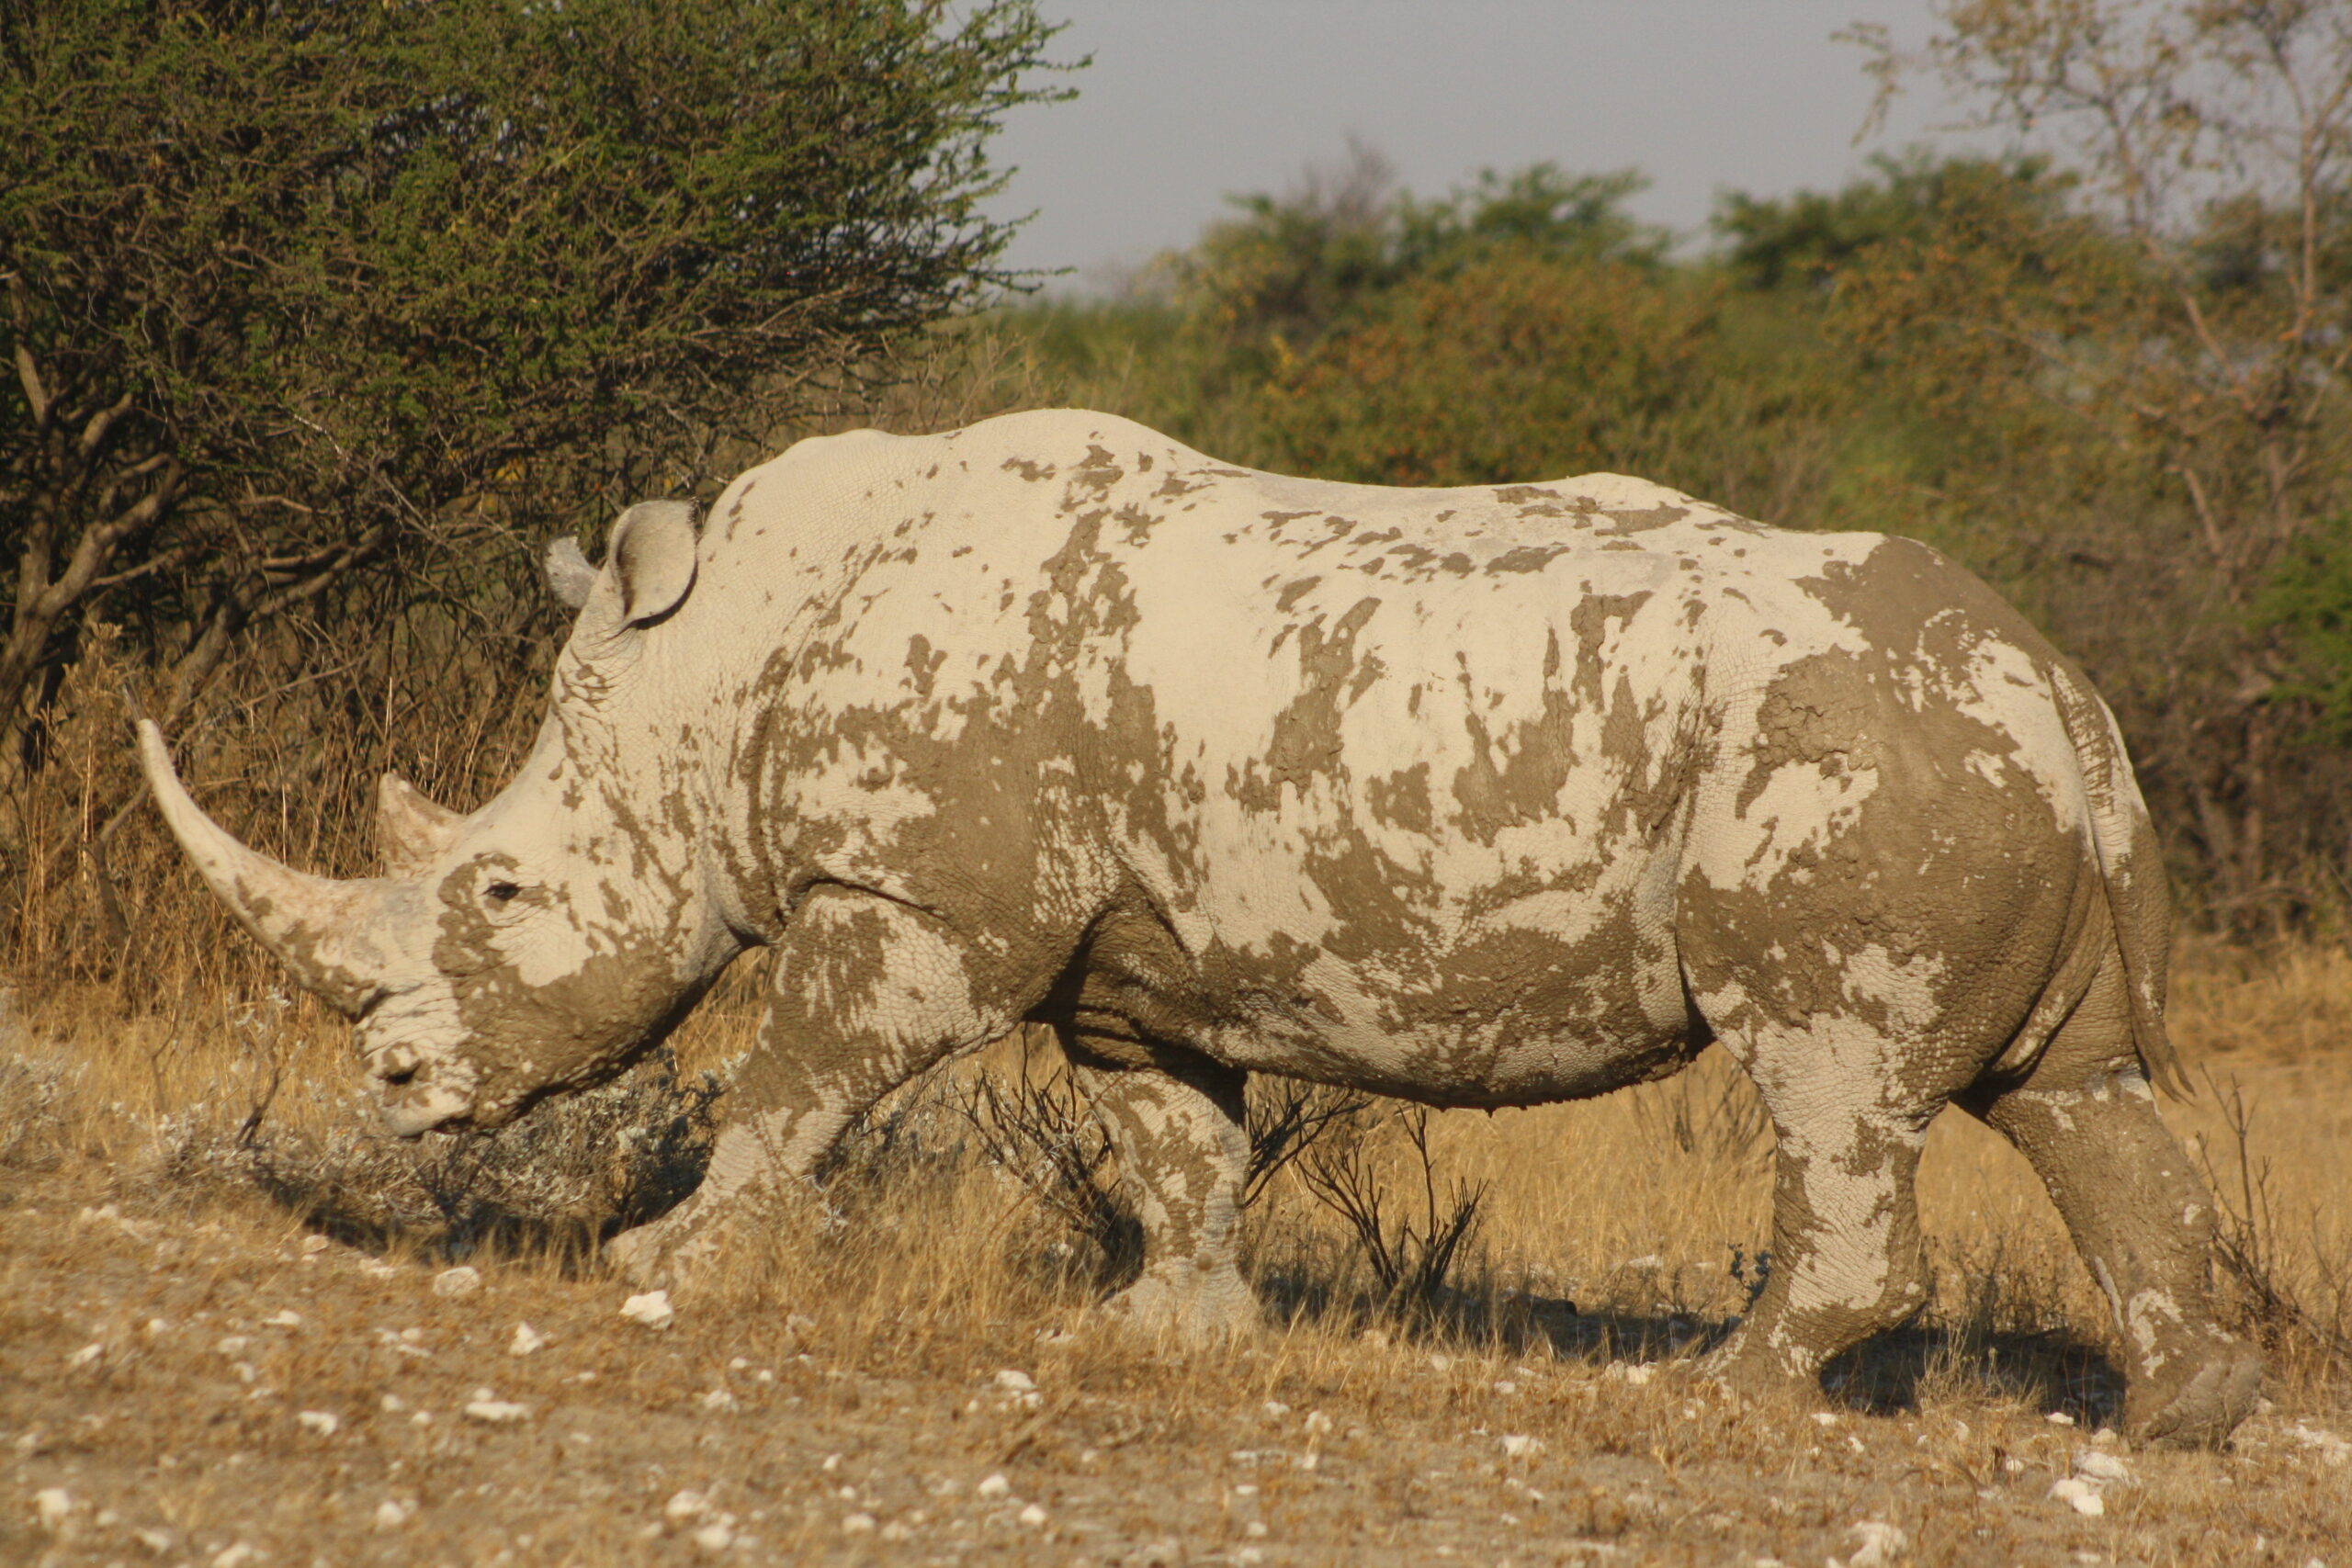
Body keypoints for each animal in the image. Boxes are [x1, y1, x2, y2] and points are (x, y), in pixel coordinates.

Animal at [140, 408, 2260, 1446]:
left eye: (499, 891)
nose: (395, 1084)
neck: (711, 666)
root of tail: (2067, 691)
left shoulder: (916, 902)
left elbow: (796, 1076)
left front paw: (658, 1260)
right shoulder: (1121, 958)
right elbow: (1172, 1138)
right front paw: (1170, 1327)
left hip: (1855, 773)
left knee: (1831, 1074)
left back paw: (1716, 1392)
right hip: (1968, 765)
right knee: (2073, 1092)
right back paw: (2191, 1418)